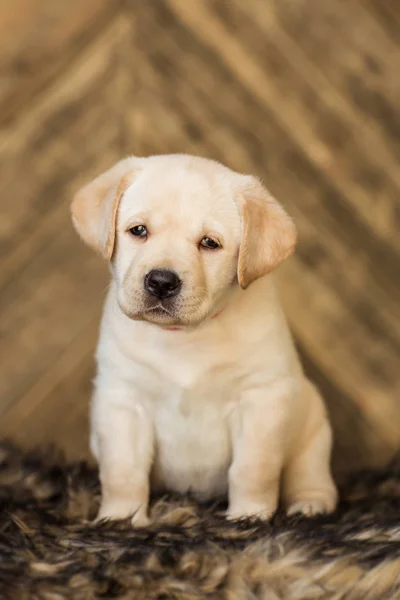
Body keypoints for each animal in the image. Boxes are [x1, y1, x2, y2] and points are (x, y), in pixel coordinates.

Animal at [71, 154, 338, 524]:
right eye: (138, 231)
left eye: (209, 243)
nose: (161, 281)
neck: (184, 337)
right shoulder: (124, 401)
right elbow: (123, 471)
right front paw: (121, 519)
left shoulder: (260, 401)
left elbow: (252, 469)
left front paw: (248, 518)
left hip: (312, 428)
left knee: (308, 473)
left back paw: (310, 504)